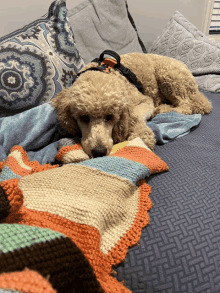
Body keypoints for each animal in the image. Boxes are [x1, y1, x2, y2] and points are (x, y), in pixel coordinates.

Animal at [51, 52, 211, 157]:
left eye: (110, 117)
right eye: (83, 117)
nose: (99, 152)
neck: (103, 73)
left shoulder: (144, 100)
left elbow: (136, 116)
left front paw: (141, 136)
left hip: (168, 76)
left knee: (186, 105)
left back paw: (162, 109)